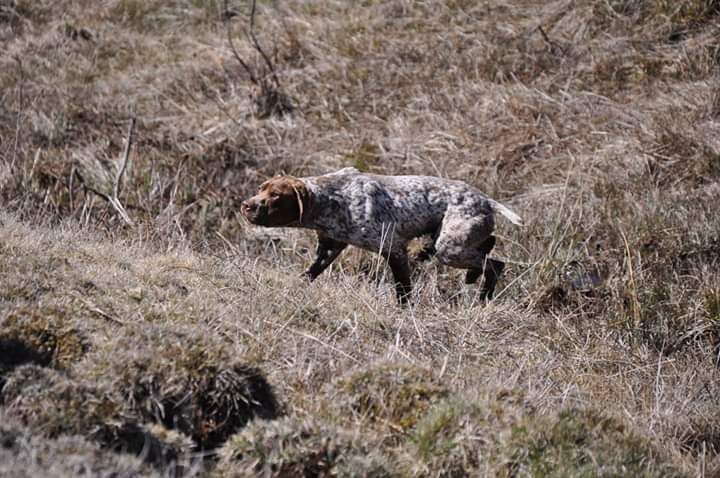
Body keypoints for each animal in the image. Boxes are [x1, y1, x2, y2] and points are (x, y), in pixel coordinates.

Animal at [243, 167, 524, 302]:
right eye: (260, 188)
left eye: (275, 195)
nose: (246, 205)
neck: (330, 199)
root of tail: (486, 200)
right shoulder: (330, 247)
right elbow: (310, 273)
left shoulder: (393, 248)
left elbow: (403, 289)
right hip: (450, 242)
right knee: (489, 245)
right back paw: (473, 277)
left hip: (450, 248)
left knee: (495, 264)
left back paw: (483, 296)